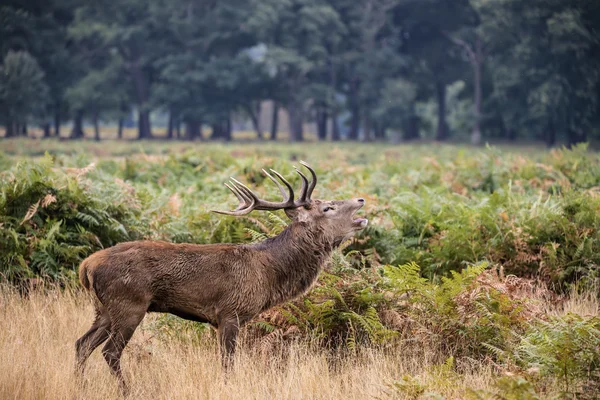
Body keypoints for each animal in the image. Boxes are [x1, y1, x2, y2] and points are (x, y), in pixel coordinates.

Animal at [75, 162, 366, 394]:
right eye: (328, 208)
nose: (361, 200)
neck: (269, 274)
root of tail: (86, 266)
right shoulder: (230, 312)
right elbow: (228, 361)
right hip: (129, 304)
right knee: (110, 351)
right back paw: (126, 390)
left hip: (104, 309)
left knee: (81, 344)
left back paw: (80, 385)